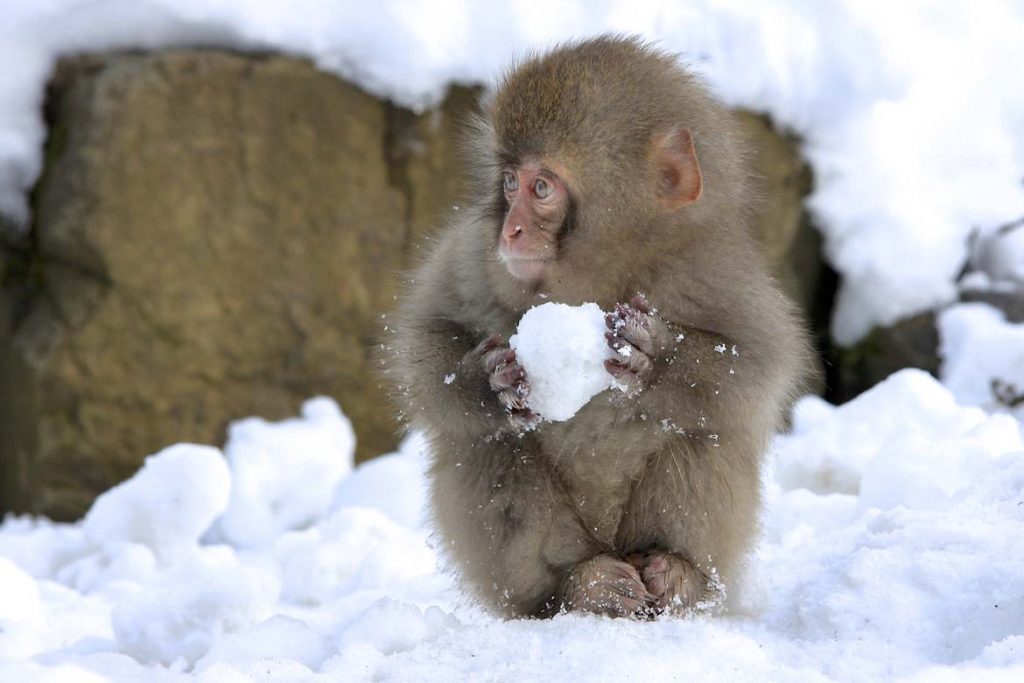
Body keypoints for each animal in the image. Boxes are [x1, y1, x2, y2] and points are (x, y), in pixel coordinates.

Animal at [385, 34, 806, 618]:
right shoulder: (471, 253)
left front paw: (655, 359)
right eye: (509, 182)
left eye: (541, 188)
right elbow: (425, 346)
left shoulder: (716, 268)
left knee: (701, 426)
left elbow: (758, 362)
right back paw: (577, 585)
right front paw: (489, 382)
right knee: (490, 443)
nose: (511, 232)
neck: (602, 275)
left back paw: (677, 571)